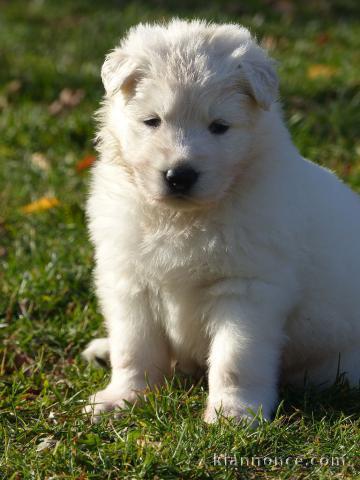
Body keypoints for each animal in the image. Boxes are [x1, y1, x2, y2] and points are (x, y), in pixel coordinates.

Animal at [83, 20, 360, 422]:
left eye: (219, 127)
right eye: (152, 121)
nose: (179, 176)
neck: (181, 218)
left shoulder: (247, 289)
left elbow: (235, 358)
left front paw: (232, 413)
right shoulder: (131, 281)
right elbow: (134, 347)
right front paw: (124, 396)